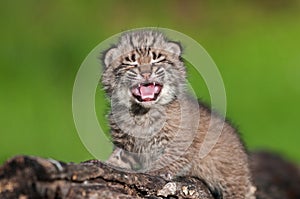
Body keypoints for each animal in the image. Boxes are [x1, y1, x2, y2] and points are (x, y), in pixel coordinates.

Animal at [101, 29, 255, 199]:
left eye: (157, 60)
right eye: (131, 62)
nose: (146, 73)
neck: (142, 112)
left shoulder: (181, 143)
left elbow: (167, 161)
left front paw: (153, 171)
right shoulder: (125, 141)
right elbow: (118, 156)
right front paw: (107, 164)